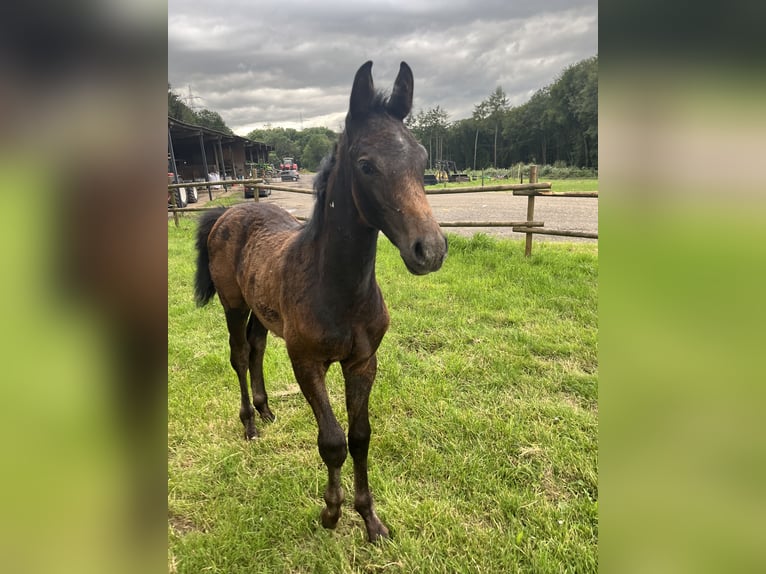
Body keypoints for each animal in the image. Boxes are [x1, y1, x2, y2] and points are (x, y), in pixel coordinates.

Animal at [194, 60, 450, 544]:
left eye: (423, 160)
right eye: (366, 165)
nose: (430, 249)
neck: (337, 288)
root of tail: (229, 211)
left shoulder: (363, 362)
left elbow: (360, 436)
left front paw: (370, 520)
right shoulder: (307, 362)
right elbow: (332, 441)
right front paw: (331, 513)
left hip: (262, 311)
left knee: (256, 347)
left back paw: (267, 410)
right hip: (233, 305)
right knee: (238, 354)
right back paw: (249, 423)